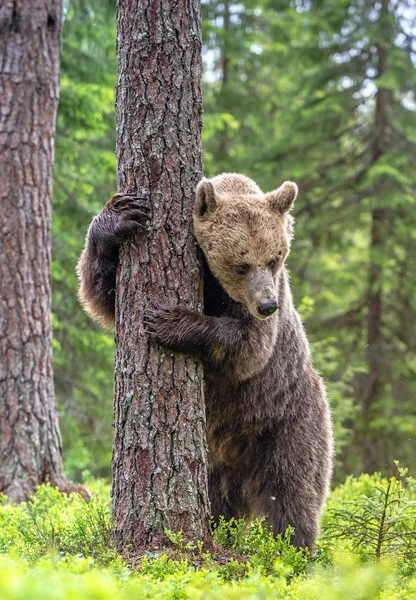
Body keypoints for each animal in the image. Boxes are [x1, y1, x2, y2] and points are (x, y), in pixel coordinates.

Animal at [77, 172, 332, 548]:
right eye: (241, 264)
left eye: (274, 258)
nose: (267, 305)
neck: (212, 283)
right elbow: (102, 293)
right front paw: (122, 215)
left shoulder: (264, 313)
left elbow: (248, 347)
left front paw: (169, 321)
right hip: (214, 463)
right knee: (217, 502)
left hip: (289, 419)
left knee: (293, 490)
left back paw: (293, 549)